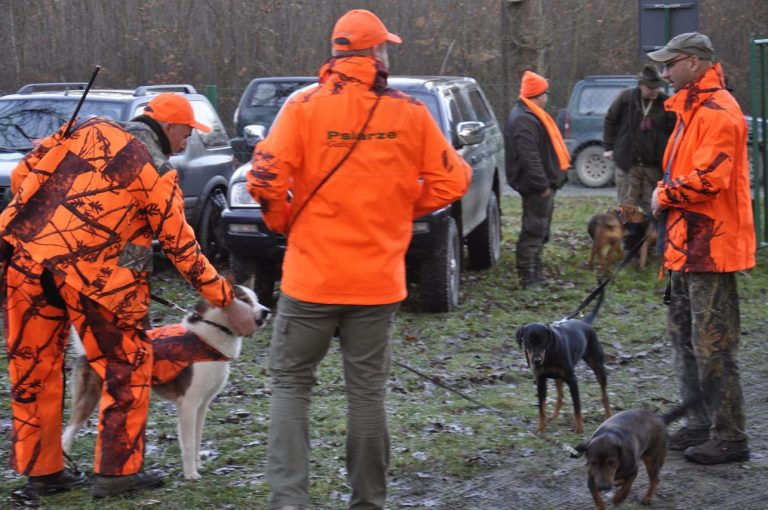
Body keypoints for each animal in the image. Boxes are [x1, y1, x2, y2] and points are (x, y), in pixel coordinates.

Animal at [61, 284, 270, 480]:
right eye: (244, 300)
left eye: (256, 299)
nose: (267, 311)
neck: (208, 338)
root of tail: (89, 351)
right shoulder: (188, 404)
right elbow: (188, 443)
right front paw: (190, 474)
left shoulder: (202, 406)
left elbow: (197, 439)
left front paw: (198, 465)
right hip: (89, 399)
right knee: (65, 435)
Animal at [516, 288, 612, 432]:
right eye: (527, 342)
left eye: (542, 341)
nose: (537, 361)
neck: (549, 356)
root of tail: (585, 322)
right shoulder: (541, 382)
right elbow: (541, 408)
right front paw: (541, 428)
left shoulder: (572, 381)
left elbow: (577, 406)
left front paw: (579, 428)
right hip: (558, 377)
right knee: (560, 396)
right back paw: (554, 416)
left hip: (597, 365)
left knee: (604, 395)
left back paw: (609, 416)